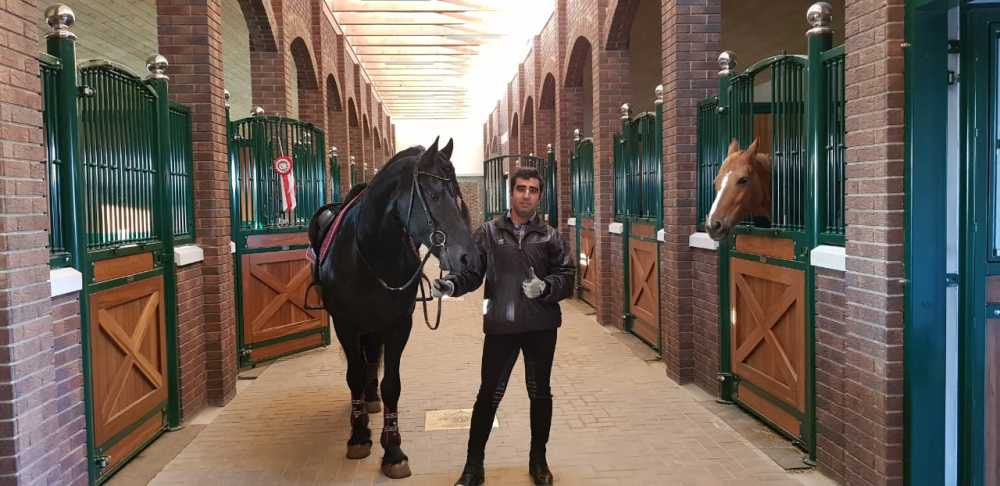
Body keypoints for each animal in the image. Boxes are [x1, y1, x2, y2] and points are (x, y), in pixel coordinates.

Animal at [306, 137, 478, 478]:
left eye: (457, 193)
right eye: (435, 195)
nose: (467, 257)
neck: (370, 252)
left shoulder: (398, 325)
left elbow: (392, 385)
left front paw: (394, 452)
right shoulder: (346, 324)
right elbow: (354, 375)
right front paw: (359, 436)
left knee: (373, 359)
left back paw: (371, 400)